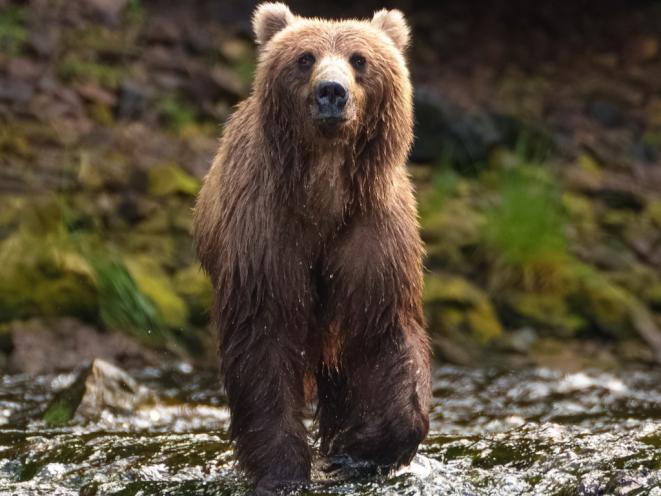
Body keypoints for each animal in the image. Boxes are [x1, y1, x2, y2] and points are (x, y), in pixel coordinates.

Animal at [193, 3, 431, 493]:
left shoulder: (372, 236)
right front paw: (281, 469)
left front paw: (360, 448)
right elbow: (263, 347)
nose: (331, 92)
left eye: (360, 59)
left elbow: (387, 334)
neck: (324, 194)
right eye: (305, 58)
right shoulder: (268, 236)